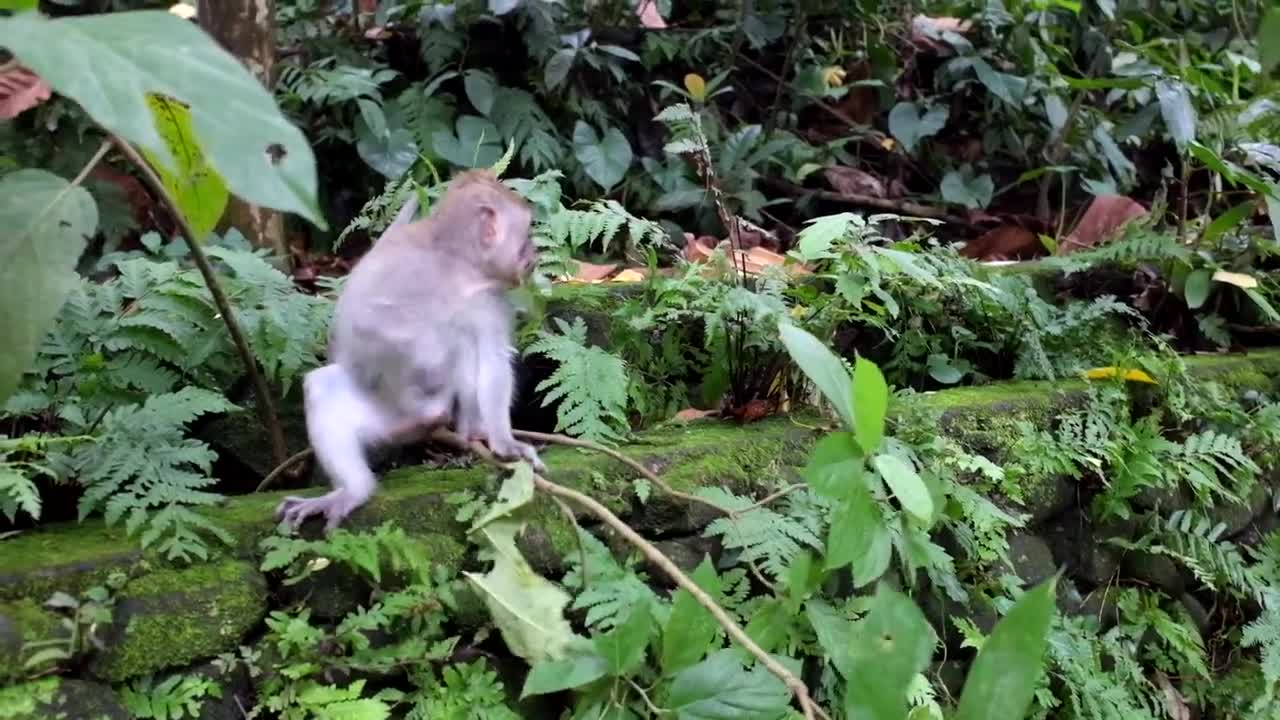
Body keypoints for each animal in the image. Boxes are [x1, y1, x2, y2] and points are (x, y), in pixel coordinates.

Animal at [277, 167, 542, 527]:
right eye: (526, 234)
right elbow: (368, 327)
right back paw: (355, 488)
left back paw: (472, 430)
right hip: (386, 416)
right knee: (327, 384)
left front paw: (504, 442)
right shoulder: (413, 275)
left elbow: (492, 358)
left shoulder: (490, 298)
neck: (459, 269)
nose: (534, 253)